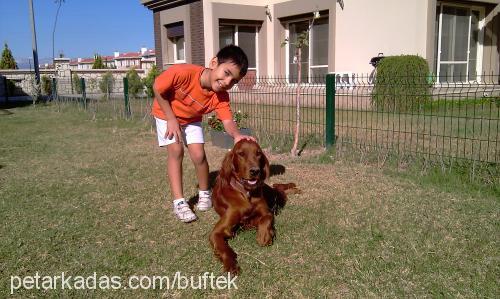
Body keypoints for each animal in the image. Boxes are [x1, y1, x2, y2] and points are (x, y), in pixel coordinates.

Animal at [209, 139, 298, 276]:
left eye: (258, 153)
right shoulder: (216, 232)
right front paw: (231, 265)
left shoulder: (266, 212)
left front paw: (264, 236)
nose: (255, 171)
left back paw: (294, 188)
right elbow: (224, 249)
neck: (246, 193)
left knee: (279, 188)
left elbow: (266, 218)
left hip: (273, 195)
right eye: (241, 154)